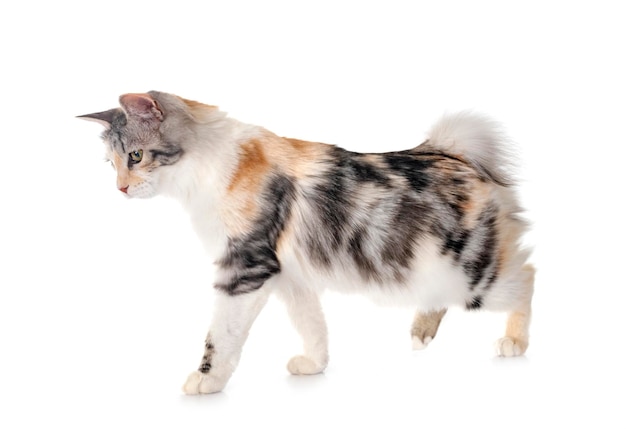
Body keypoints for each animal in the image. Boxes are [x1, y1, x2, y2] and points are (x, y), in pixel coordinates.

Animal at [78, 91, 532, 394]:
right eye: (111, 163)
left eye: (136, 156)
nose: (120, 188)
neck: (210, 166)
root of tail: (450, 151)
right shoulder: (289, 275)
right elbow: (312, 324)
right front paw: (314, 365)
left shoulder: (245, 268)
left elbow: (221, 334)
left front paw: (207, 379)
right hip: (431, 268)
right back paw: (421, 333)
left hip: (475, 275)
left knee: (527, 276)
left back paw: (514, 342)